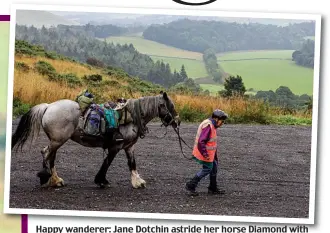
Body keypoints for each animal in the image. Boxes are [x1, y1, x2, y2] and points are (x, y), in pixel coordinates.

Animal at [11, 92, 179, 188]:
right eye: (170, 106)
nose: (177, 121)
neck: (132, 116)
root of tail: (48, 107)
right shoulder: (115, 146)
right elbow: (107, 162)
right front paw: (101, 180)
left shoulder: (129, 146)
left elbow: (132, 163)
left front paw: (138, 182)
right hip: (58, 140)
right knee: (46, 153)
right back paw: (46, 177)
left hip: (56, 141)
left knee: (50, 156)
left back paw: (55, 180)